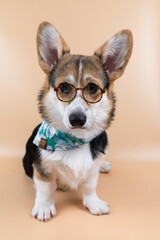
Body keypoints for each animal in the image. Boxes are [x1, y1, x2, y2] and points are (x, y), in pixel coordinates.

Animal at [22, 22, 132, 221]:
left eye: (92, 88)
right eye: (65, 88)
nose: (77, 119)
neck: (73, 140)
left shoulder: (91, 173)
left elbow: (89, 187)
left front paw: (94, 203)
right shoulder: (42, 169)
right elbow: (46, 188)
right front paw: (44, 207)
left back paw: (104, 165)